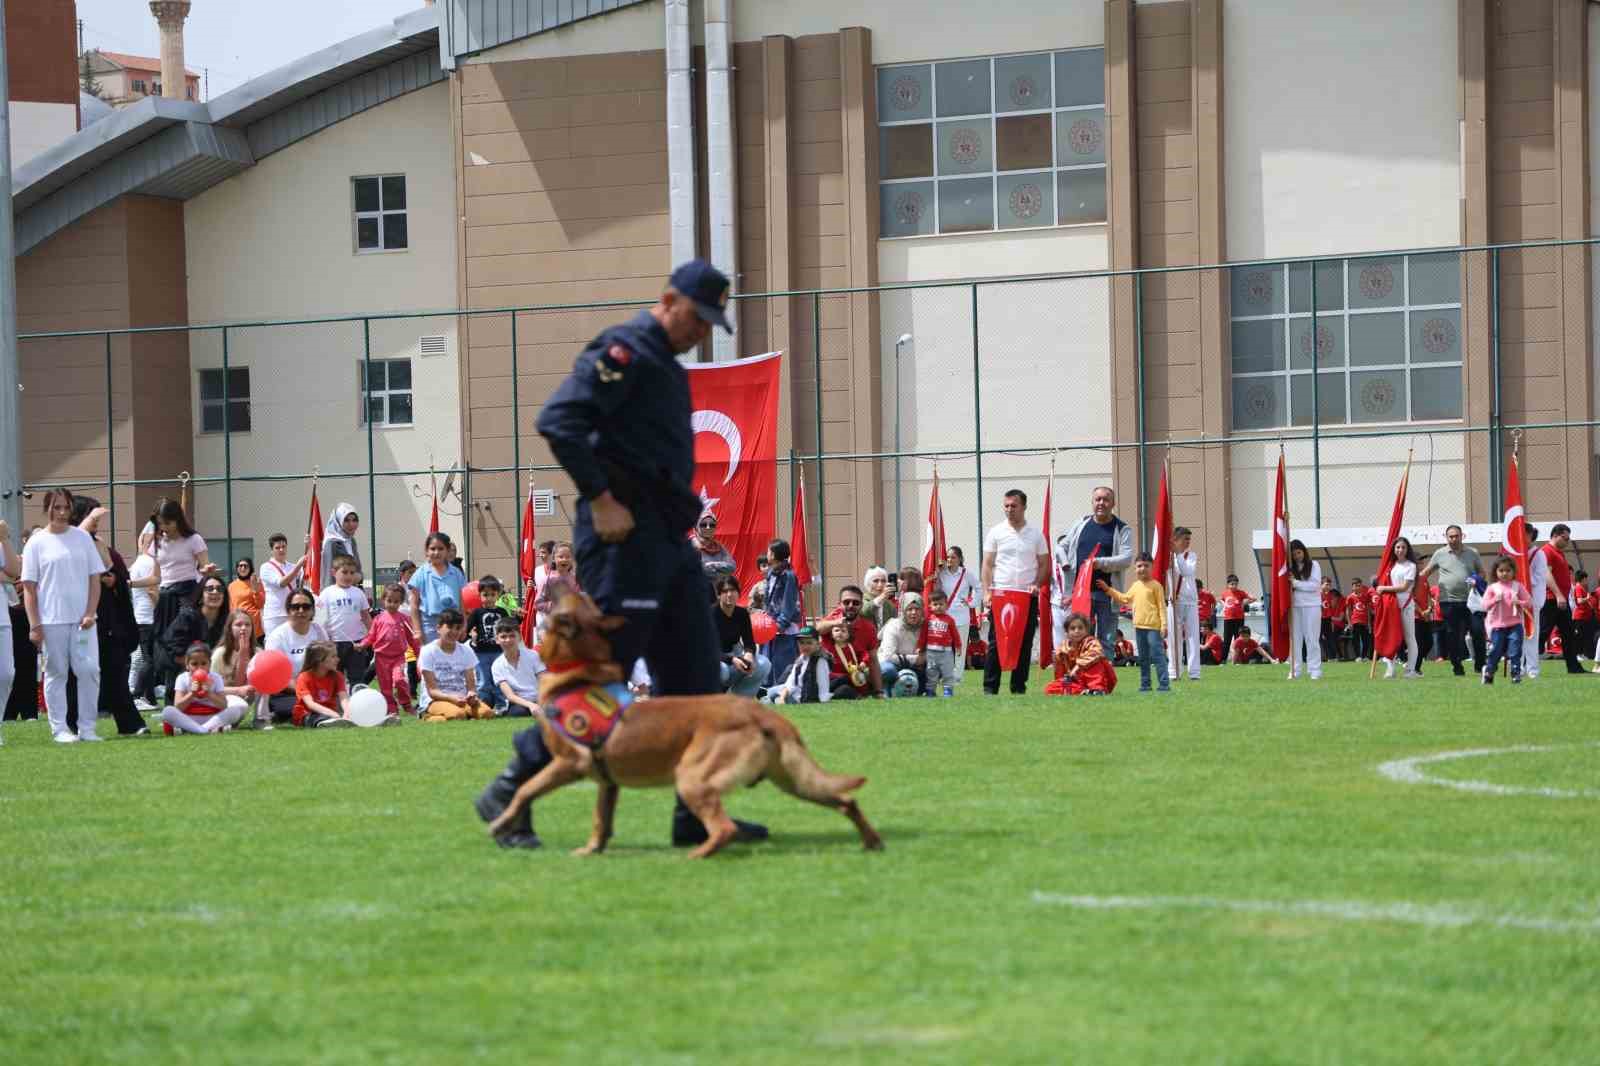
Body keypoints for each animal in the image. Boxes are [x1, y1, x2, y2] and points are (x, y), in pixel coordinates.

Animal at [486, 592, 889, 857]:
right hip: (793, 779)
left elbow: (525, 790)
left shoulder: (570, 763)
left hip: (693, 776)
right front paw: (590, 850)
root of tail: (764, 714)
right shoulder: (606, 782)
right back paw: (872, 841)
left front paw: (501, 822)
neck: (578, 672)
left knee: (724, 827)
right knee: (845, 801)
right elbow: (601, 820)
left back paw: (695, 854)